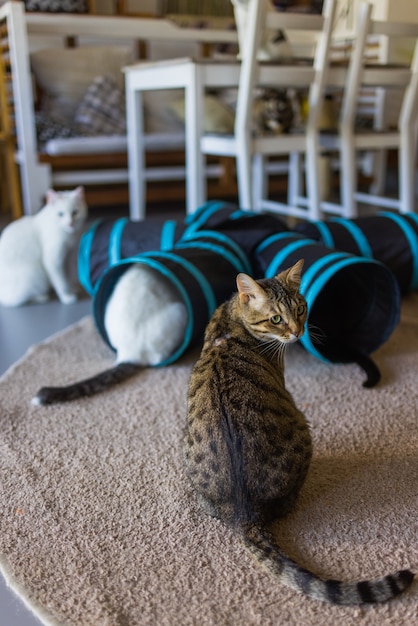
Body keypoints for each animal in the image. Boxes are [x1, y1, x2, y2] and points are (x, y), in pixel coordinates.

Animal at [185, 258, 414, 600]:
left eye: (302, 308)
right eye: (276, 319)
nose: (297, 332)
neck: (233, 318)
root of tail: (245, 514)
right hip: (304, 431)